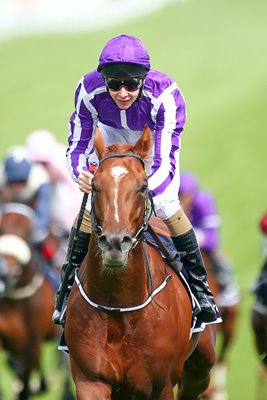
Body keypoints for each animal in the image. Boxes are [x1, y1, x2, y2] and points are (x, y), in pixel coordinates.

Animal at [65, 126, 218, 400]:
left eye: (143, 187)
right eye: (94, 186)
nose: (115, 243)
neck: (119, 306)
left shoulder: (161, 386)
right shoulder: (90, 380)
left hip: (202, 363)